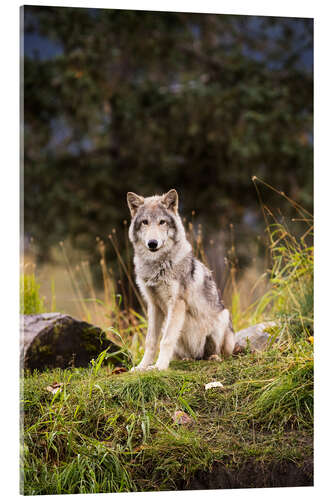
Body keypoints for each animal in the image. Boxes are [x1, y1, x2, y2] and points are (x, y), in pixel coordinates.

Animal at [126, 189, 235, 370]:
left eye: (162, 222)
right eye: (145, 222)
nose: (152, 243)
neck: (157, 266)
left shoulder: (176, 303)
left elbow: (165, 341)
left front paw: (159, 367)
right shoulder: (153, 305)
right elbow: (150, 341)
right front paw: (142, 367)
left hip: (223, 317)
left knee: (217, 353)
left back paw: (213, 358)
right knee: (190, 356)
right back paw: (186, 360)